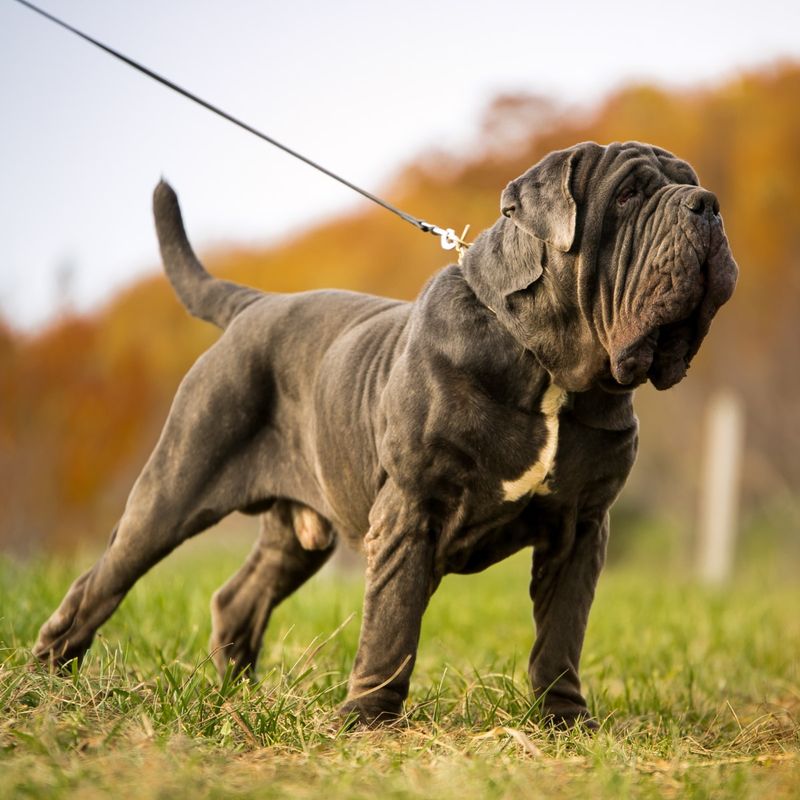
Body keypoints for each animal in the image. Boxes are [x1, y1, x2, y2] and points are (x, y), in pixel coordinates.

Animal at [36, 141, 736, 728]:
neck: (547, 367)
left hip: (298, 532)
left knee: (238, 598)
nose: (707, 203)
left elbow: (561, 632)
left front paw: (565, 722)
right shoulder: (410, 510)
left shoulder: (581, 527)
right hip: (174, 487)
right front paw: (368, 720)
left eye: (690, 182)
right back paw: (46, 681)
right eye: (628, 196)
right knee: (101, 582)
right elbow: (393, 622)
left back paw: (241, 698)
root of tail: (253, 305)